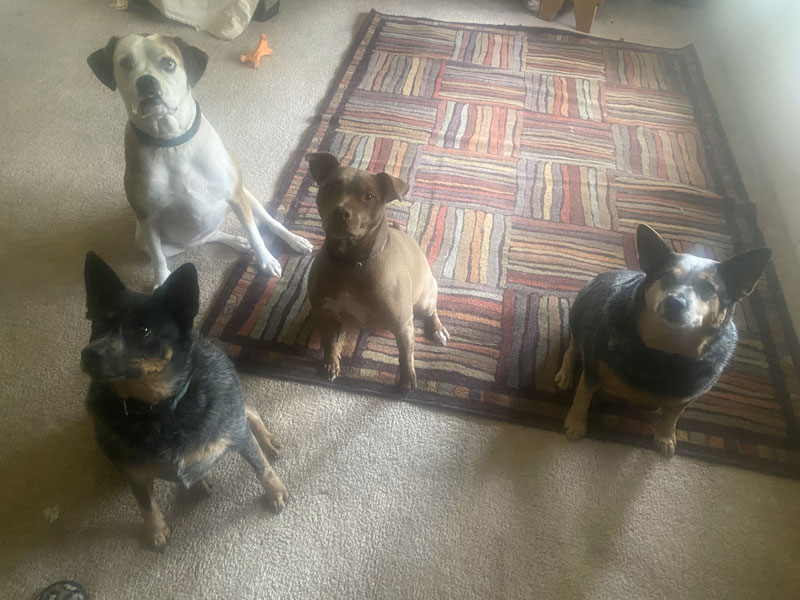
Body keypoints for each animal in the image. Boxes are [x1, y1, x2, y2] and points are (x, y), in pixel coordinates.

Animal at [78, 251, 290, 548]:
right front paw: (155, 530)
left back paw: (266, 441)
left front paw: (275, 491)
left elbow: (262, 468)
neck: (158, 408)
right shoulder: (134, 473)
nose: (90, 354)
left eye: (143, 330)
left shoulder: (237, 434)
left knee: (250, 411)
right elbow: (145, 504)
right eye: (98, 324)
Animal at [86, 34, 312, 288]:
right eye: (125, 63)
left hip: (246, 195)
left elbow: (255, 234)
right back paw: (235, 241)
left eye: (168, 63)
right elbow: (157, 259)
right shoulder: (147, 219)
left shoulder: (236, 196)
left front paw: (265, 260)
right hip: (143, 238)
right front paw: (162, 282)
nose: (146, 82)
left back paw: (294, 239)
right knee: (203, 240)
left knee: (268, 221)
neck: (171, 142)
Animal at [304, 152, 446, 394]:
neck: (352, 263)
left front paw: (407, 379)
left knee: (431, 311)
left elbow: (405, 354)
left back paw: (437, 330)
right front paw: (330, 363)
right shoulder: (323, 311)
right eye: (330, 186)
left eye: (369, 196)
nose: (340, 212)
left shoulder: (402, 324)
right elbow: (329, 341)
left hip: (424, 297)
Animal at [556, 224, 768, 454]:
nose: (675, 302)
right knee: (572, 348)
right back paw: (565, 375)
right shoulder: (593, 368)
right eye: (667, 277)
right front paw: (576, 423)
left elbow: (674, 413)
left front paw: (665, 436)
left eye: (707, 288)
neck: (666, 351)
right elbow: (582, 397)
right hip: (578, 318)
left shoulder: (691, 393)